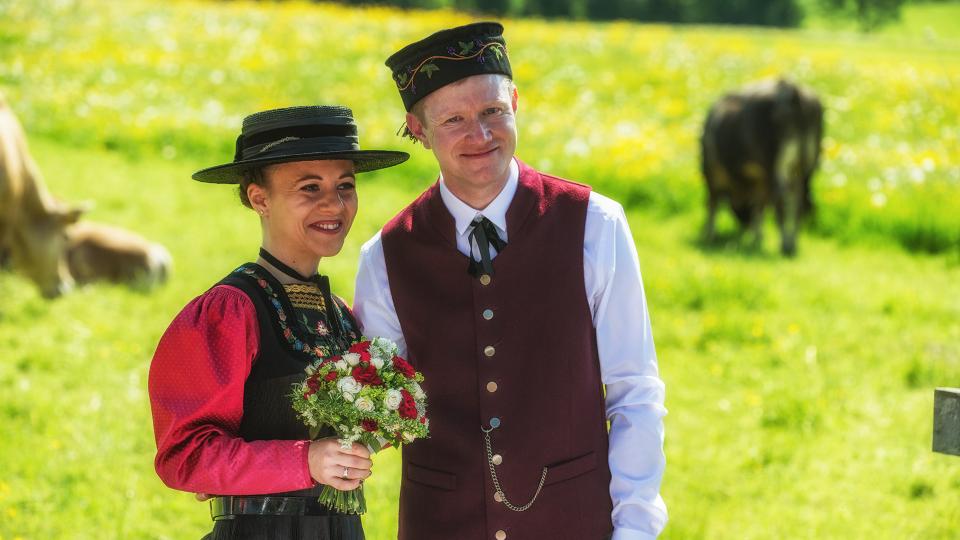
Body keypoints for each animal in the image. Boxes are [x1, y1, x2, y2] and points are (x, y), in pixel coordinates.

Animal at [696, 78, 824, 258]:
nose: (744, 225)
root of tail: (791, 89)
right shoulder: (761, 182)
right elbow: (760, 205)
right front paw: (757, 239)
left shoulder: (710, 171)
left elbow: (712, 203)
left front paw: (709, 235)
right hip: (807, 166)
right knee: (799, 201)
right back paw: (792, 244)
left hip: (775, 164)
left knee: (782, 200)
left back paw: (785, 245)